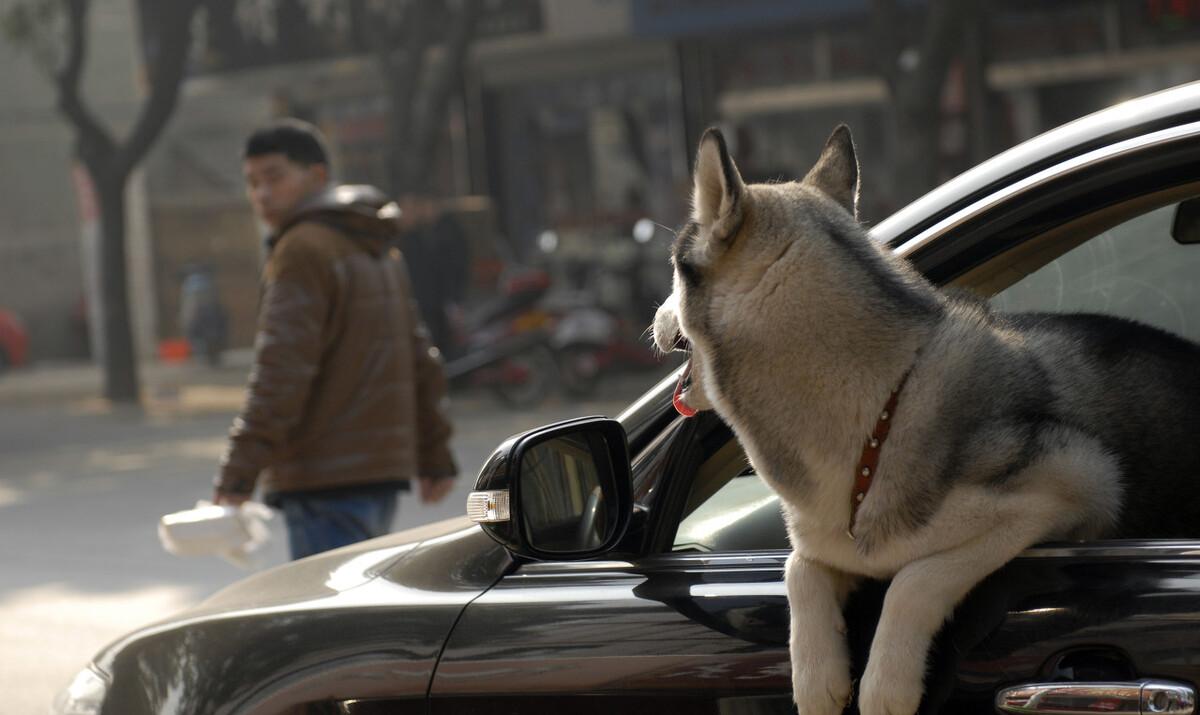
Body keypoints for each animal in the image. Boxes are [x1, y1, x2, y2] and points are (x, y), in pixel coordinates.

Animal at [652, 127, 1200, 715]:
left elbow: (915, 577)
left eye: (673, 268)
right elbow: (799, 567)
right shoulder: (827, 536)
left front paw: (886, 683)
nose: (654, 320)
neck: (877, 416)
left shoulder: (1078, 484)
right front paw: (817, 675)